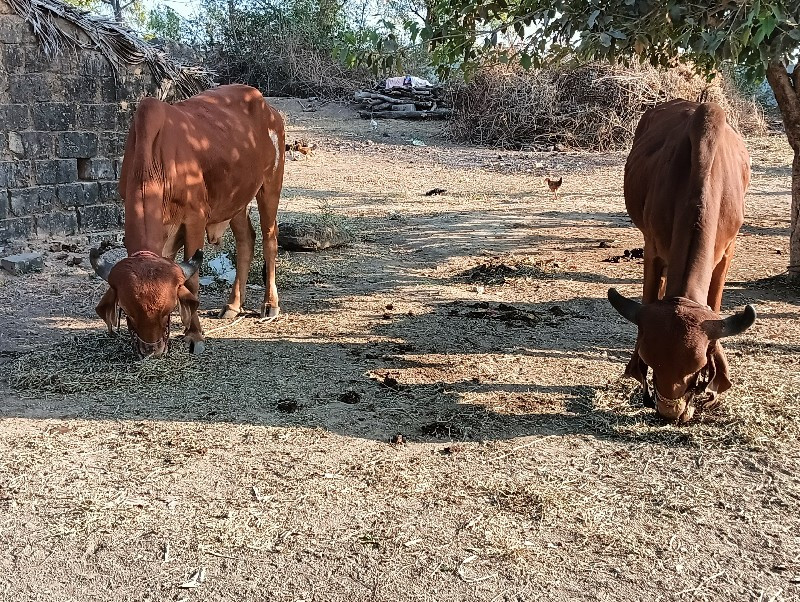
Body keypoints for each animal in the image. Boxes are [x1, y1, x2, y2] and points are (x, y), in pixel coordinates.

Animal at [91, 84, 284, 356]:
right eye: (126, 310)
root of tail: (268, 108)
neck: (157, 166)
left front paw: (194, 336)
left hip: (270, 184)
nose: (152, 350)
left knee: (270, 238)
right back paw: (233, 305)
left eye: (168, 308)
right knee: (246, 240)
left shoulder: (195, 220)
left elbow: (191, 283)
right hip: (235, 201)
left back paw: (270, 304)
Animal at [608, 101, 756, 422]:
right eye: (649, 359)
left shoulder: (727, 251)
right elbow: (648, 299)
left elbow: (715, 304)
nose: (669, 411)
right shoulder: (652, 248)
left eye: (698, 366)